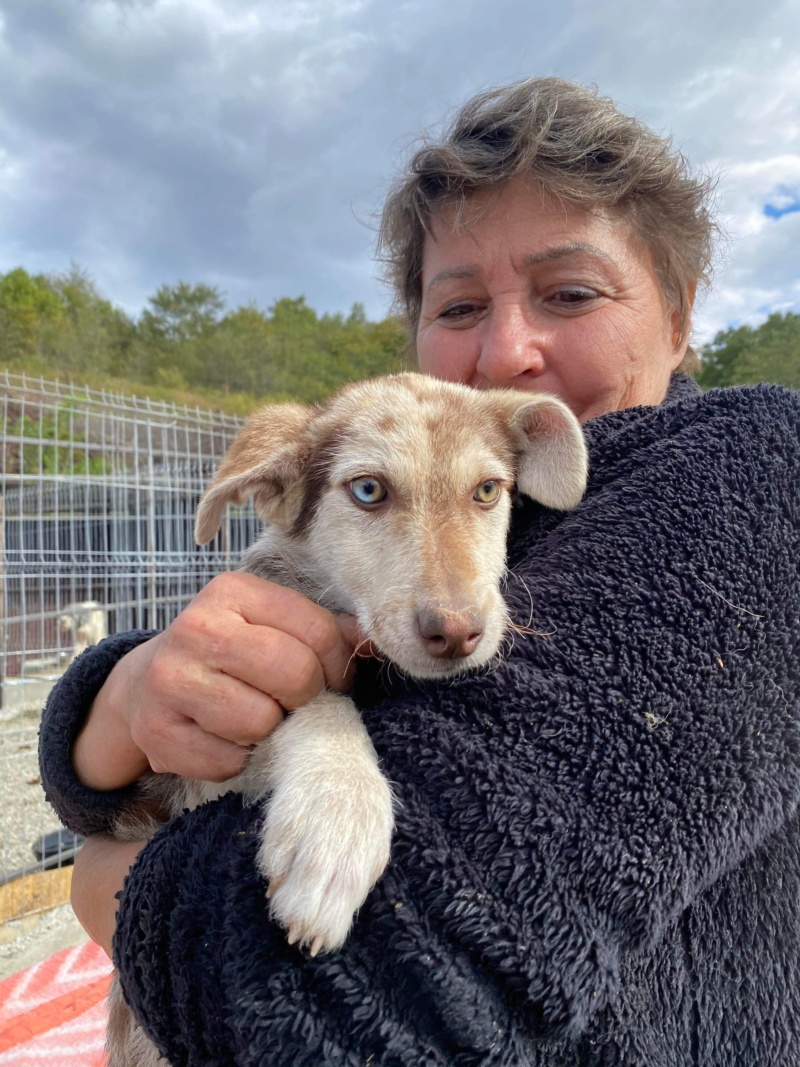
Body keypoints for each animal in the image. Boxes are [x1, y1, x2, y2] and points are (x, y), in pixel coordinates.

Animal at [105, 375, 588, 1067]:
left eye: (487, 491)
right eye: (368, 491)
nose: (458, 633)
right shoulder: (206, 761)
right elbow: (318, 699)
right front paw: (335, 819)